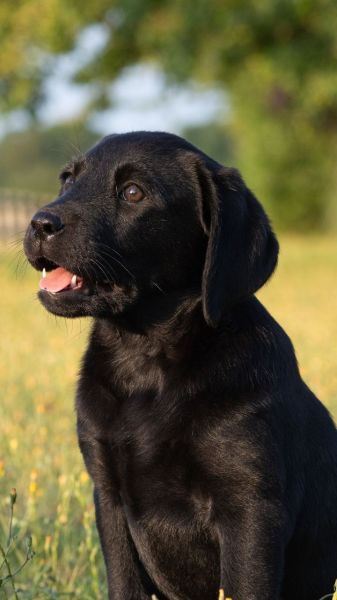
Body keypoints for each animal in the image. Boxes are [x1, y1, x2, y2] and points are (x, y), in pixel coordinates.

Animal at [23, 132, 336, 600]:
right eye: (67, 179)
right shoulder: (109, 498)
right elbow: (125, 585)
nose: (39, 224)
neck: (146, 366)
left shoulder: (251, 510)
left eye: (133, 193)